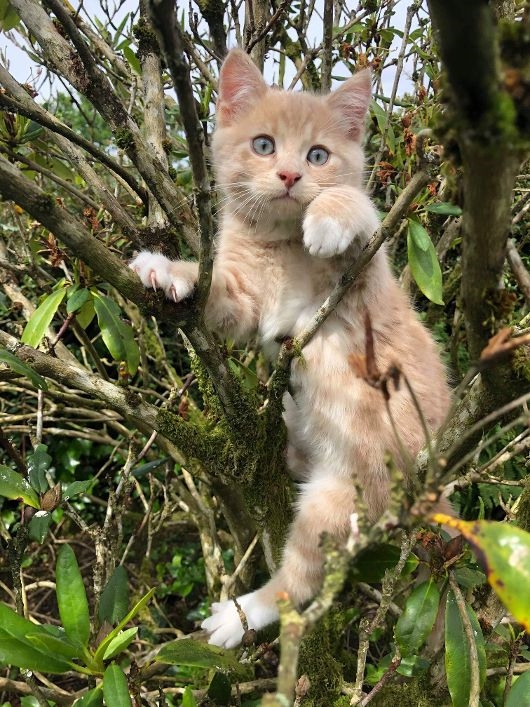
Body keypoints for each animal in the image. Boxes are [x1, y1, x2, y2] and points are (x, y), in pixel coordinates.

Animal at [130, 48, 450, 649]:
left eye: (318, 155)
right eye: (263, 145)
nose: (289, 175)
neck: (280, 247)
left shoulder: (364, 284)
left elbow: (359, 210)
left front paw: (328, 216)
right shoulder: (243, 301)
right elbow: (217, 296)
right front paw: (167, 269)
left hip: (343, 501)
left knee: (300, 578)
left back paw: (244, 612)